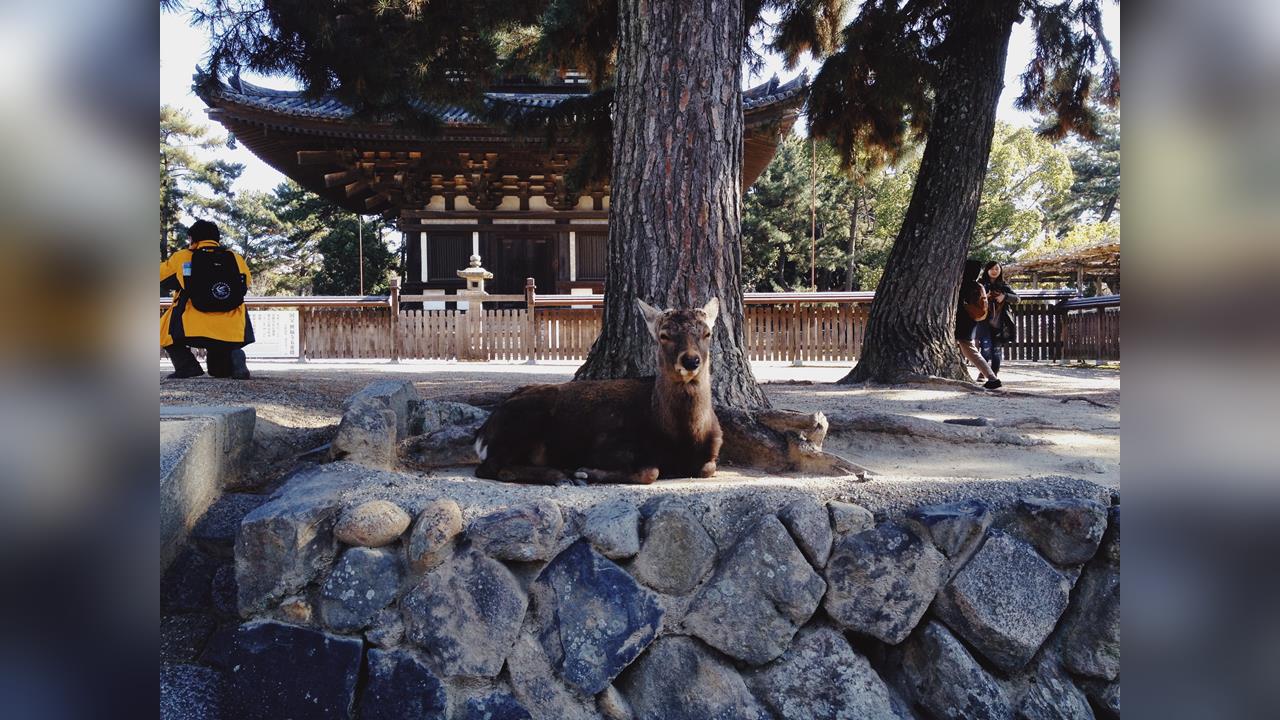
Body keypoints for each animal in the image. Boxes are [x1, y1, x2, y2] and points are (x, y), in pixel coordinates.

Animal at [474, 298, 723, 485]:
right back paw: (561, 475)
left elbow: (707, 468)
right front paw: (585, 472)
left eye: (707, 333)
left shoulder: (712, 453)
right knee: (492, 468)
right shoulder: (607, 444)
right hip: (521, 426)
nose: (691, 360)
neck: (680, 439)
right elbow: (651, 471)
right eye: (664, 335)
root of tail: (482, 433)